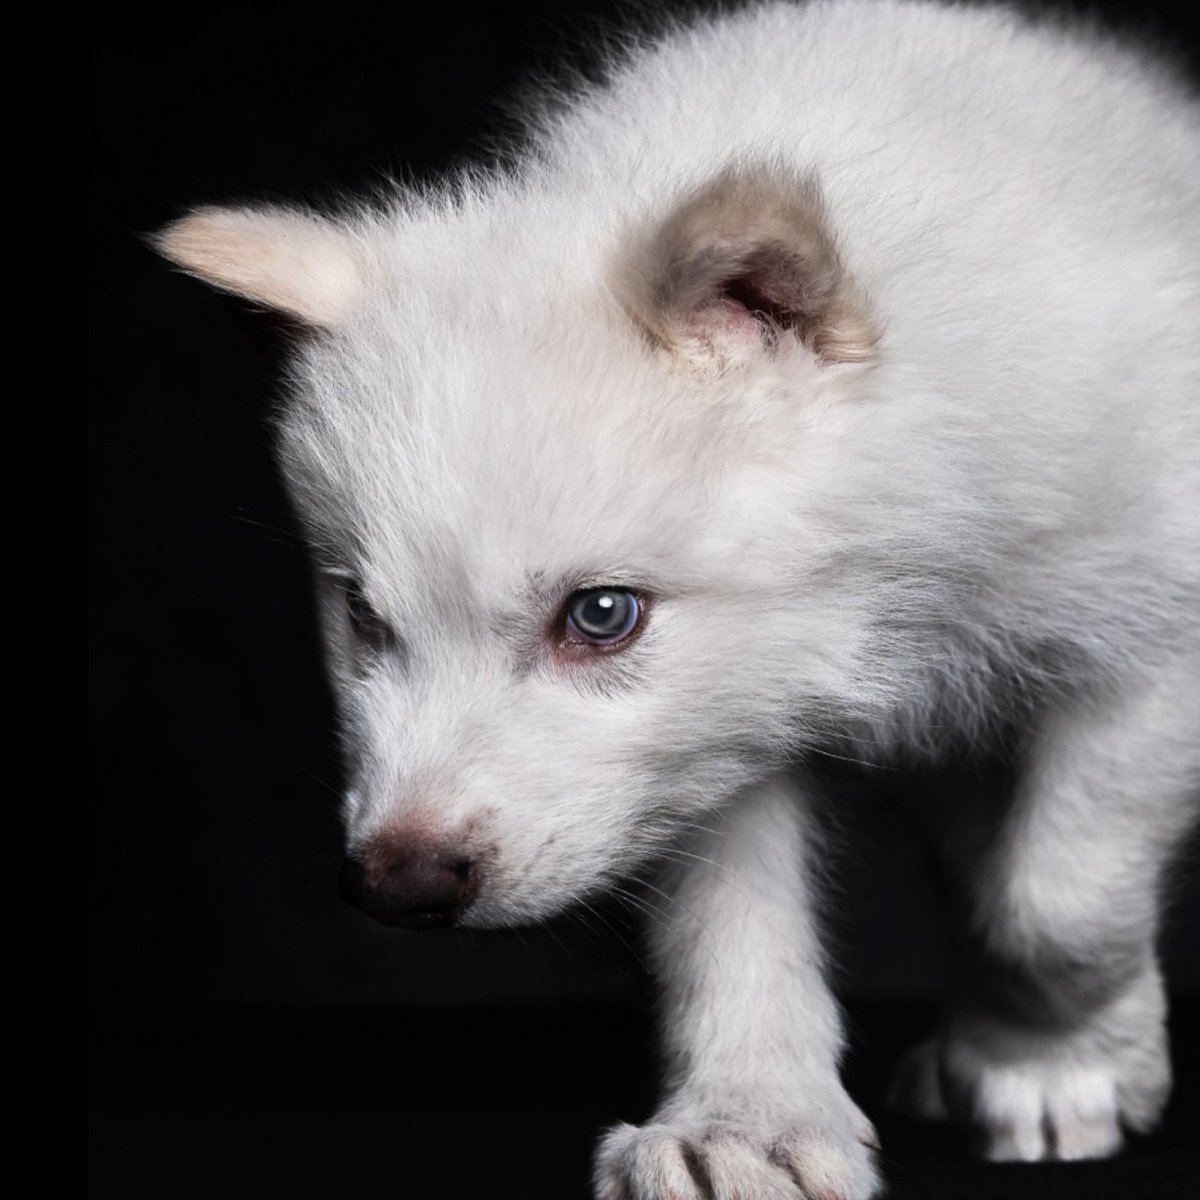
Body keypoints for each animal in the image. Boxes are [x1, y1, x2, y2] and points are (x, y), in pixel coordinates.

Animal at [156, 1, 1200, 1196]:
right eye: (364, 618)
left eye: (600, 616)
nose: (396, 886)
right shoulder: (710, 740)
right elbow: (729, 929)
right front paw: (746, 1124)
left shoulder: (1151, 649)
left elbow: (1054, 906)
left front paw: (1057, 1065)